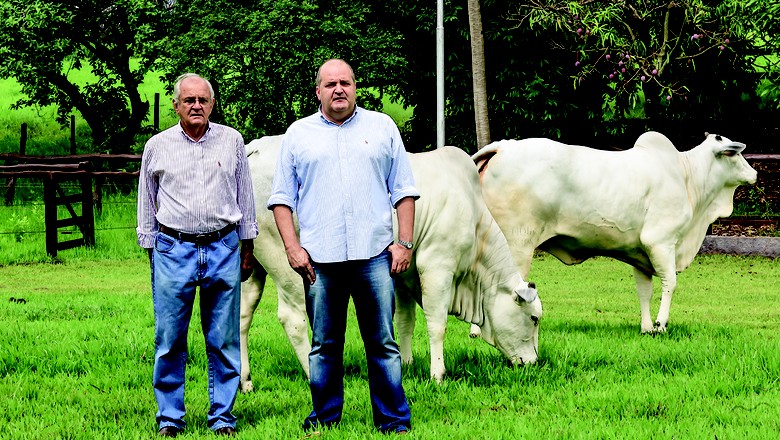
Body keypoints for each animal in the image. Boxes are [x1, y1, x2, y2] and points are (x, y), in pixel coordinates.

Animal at [239, 138, 544, 388]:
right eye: (534, 318)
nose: (533, 363)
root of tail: (253, 149)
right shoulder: (437, 267)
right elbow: (437, 324)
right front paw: (438, 375)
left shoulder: (401, 273)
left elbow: (405, 321)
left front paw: (406, 364)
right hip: (287, 263)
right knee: (293, 318)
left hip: (252, 267)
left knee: (242, 316)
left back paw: (245, 382)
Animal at [470, 131, 756, 334]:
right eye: (733, 154)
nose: (754, 173)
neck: (687, 177)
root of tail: (503, 146)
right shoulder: (660, 242)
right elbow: (670, 284)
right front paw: (661, 325)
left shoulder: (641, 253)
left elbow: (644, 291)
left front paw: (646, 327)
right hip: (517, 243)